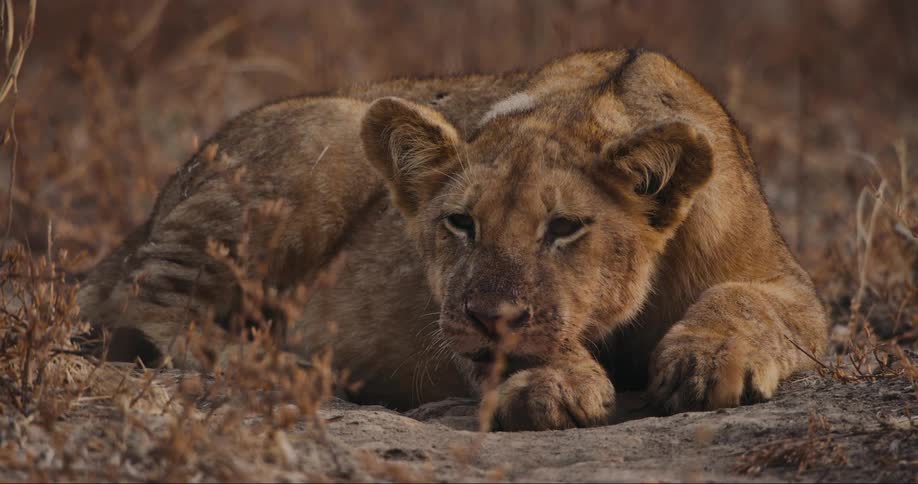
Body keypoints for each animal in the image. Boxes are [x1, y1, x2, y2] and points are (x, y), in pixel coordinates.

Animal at [78, 49, 828, 430]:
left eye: (565, 227)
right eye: (460, 223)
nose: (492, 317)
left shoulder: (790, 284)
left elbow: (743, 301)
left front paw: (706, 362)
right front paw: (551, 382)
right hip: (323, 143)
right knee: (154, 308)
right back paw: (287, 366)